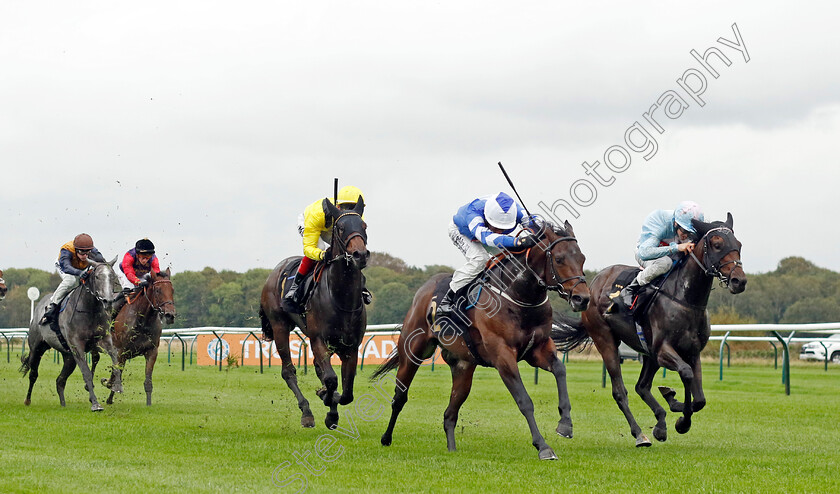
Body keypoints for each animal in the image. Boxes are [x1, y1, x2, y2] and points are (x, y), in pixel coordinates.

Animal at [20, 256, 124, 412]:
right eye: (97, 277)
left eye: (112, 276)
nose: (108, 301)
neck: (90, 309)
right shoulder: (77, 346)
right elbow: (86, 373)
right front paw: (95, 403)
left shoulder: (103, 340)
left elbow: (115, 359)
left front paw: (117, 386)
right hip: (37, 348)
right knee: (33, 373)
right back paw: (27, 400)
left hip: (68, 357)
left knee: (60, 380)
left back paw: (63, 404)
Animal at [97, 270, 176, 406]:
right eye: (158, 290)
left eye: (172, 290)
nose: (170, 315)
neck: (143, 320)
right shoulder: (121, 351)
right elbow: (118, 373)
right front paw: (109, 388)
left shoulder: (152, 351)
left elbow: (148, 381)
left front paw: (148, 404)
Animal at [260, 197, 368, 428]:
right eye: (340, 227)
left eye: (364, 226)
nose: (360, 255)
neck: (341, 297)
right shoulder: (319, 339)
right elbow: (331, 379)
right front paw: (327, 402)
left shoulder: (350, 346)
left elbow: (347, 391)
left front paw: (330, 403)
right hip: (279, 325)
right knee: (288, 371)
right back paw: (306, 412)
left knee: (320, 369)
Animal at [370, 220, 592, 460]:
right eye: (559, 259)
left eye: (582, 258)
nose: (582, 298)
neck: (519, 297)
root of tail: (425, 288)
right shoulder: (503, 356)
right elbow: (524, 401)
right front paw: (543, 447)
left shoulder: (538, 348)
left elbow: (560, 370)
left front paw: (565, 424)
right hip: (413, 352)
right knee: (400, 397)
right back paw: (386, 438)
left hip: (463, 367)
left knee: (450, 413)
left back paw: (452, 448)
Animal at [556, 214, 744, 446]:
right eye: (717, 245)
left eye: (739, 245)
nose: (739, 280)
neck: (685, 300)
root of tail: (593, 284)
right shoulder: (664, 350)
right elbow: (686, 373)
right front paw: (682, 421)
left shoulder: (692, 352)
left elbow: (700, 399)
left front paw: (674, 404)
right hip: (605, 340)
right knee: (621, 392)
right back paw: (640, 434)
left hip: (648, 353)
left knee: (642, 387)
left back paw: (661, 421)